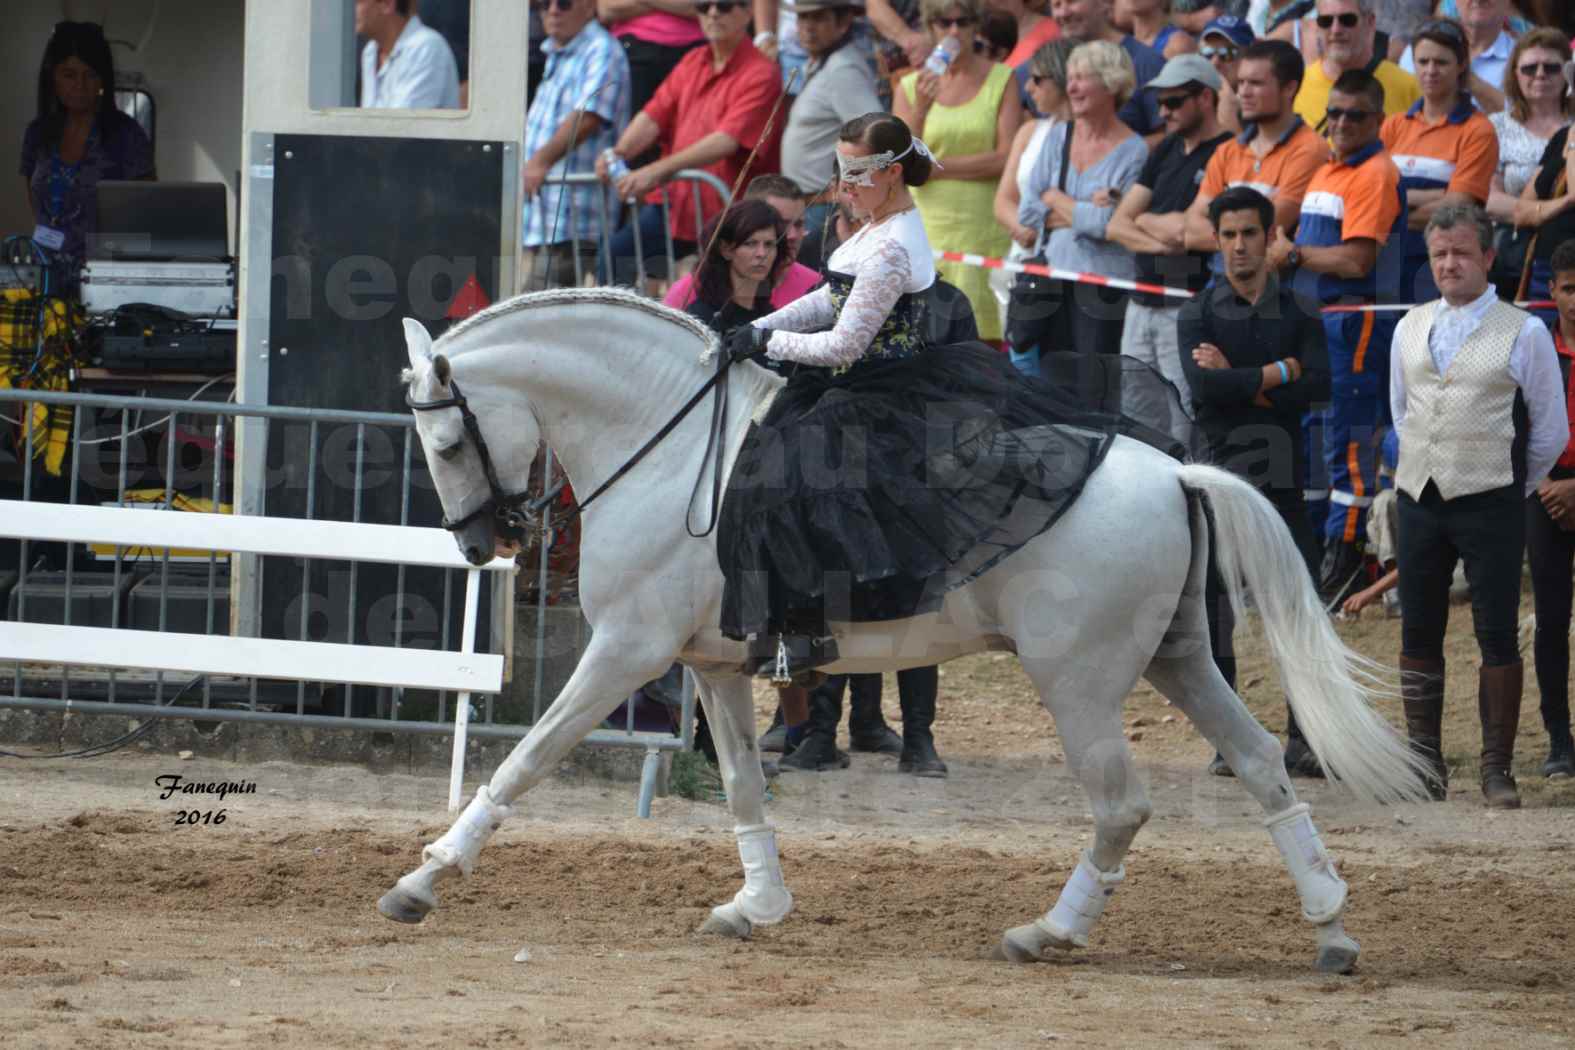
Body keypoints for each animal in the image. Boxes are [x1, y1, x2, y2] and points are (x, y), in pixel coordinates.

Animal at [378, 288, 1430, 976]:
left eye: (446, 441)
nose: (479, 544)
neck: (668, 447)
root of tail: (1175, 470)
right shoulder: (712, 664)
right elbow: (741, 785)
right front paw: (756, 906)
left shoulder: (625, 651)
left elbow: (529, 757)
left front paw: (422, 880)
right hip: (1177, 659)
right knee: (1258, 762)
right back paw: (1330, 925)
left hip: (1080, 681)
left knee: (1122, 806)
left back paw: (1048, 933)